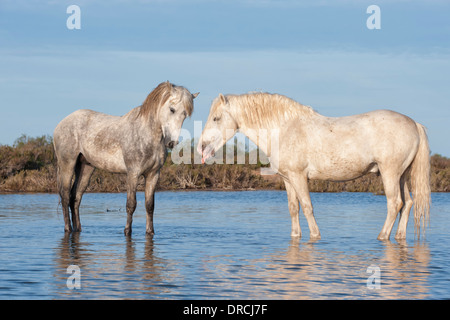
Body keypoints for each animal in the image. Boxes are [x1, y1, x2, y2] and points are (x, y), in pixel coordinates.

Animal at [199, 92, 430, 240]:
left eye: (216, 118)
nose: (201, 147)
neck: (284, 129)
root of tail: (413, 123)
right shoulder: (288, 179)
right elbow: (293, 208)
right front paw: (295, 235)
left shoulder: (299, 177)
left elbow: (307, 207)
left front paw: (315, 235)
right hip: (401, 175)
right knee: (407, 203)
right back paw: (399, 236)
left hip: (389, 173)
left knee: (394, 203)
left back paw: (382, 236)